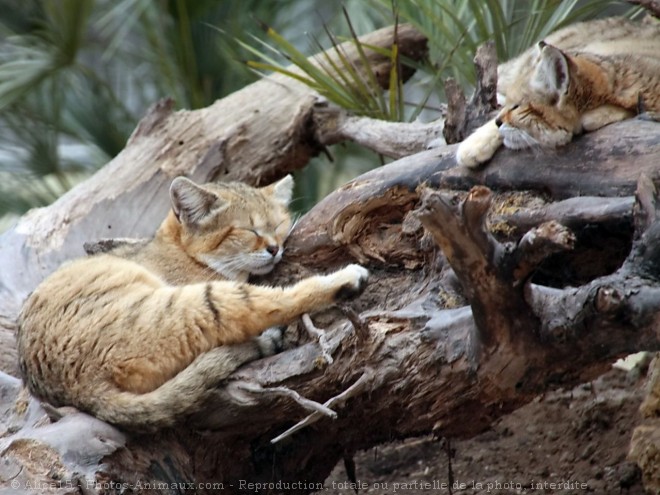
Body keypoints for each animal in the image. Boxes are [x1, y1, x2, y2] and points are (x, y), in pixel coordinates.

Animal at [15, 176, 368, 432]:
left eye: (278, 225)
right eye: (248, 230)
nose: (274, 248)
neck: (181, 251)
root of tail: (82, 388)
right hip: (200, 302)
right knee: (273, 303)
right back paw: (344, 281)